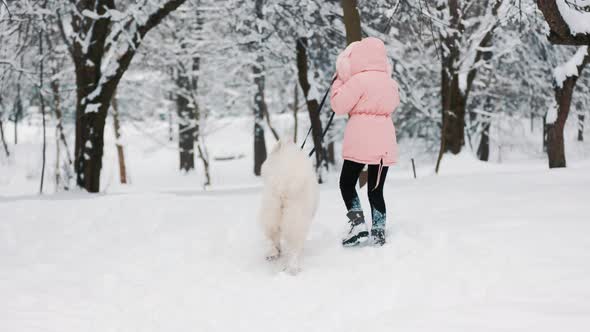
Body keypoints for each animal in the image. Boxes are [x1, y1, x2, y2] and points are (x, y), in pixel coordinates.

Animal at [260, 139, 322, 274]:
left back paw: (273, 254)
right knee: (293, 248)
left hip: (270, 211)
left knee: (271, 237)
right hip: (296, 221)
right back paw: (293, 268)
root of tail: (283, 186)